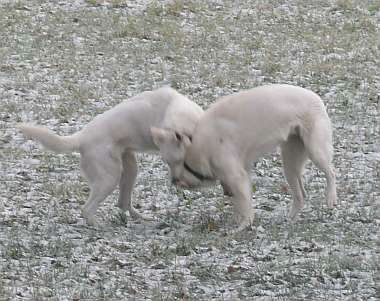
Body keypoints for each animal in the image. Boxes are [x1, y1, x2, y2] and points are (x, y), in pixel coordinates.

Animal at [18, 85, 203, 224]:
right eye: (171, 163)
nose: (175, 182)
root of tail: (81, 137)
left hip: (129, 169)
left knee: (123, 203)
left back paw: (142, 218)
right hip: (109, 178)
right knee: (87, 209)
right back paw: (99, 226)